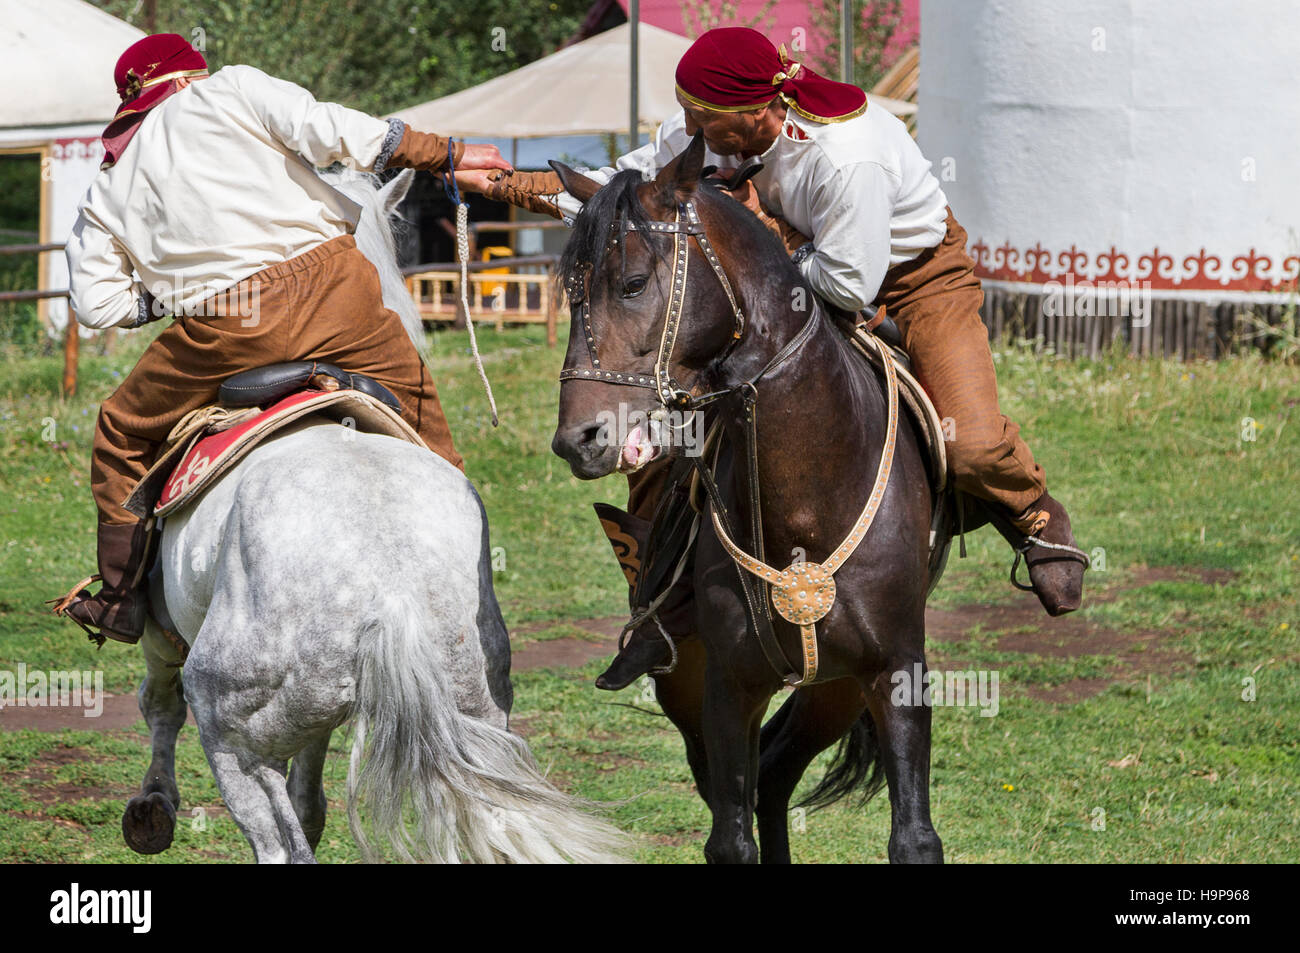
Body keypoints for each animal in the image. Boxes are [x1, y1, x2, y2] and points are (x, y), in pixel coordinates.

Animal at [551, 135, 946, 863]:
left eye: (633, 282)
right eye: (571, 294)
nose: (579, 439)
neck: (806, 506)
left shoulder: (894, 672)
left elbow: (913, 838)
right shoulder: (730, 687)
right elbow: (730, 837)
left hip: (836, 689)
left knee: (777, 771)